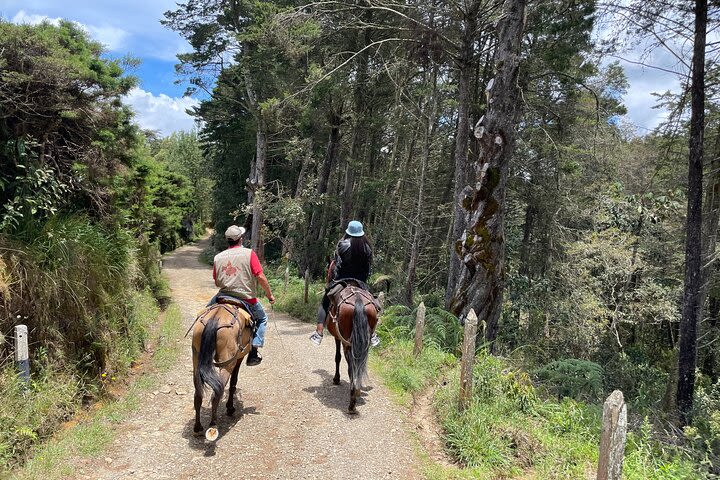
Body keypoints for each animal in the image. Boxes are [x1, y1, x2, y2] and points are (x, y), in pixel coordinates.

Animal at [191, 302, 253, 440]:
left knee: (198, 394)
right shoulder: (238, 358)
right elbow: (233, 382)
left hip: (196, 361)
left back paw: (197, 428)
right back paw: (213, 425)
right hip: (227, 363)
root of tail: (215, 318)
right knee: (217, 392)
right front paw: (230, 408)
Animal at [326, 284, 380, 414]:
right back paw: (357, 391)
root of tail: (358, 300)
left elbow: (337, 357)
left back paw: (352, 404)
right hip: (363, 343)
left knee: (351, 367)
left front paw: (336, 379)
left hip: (348, 344)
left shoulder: (337, 337)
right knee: (361, 364)